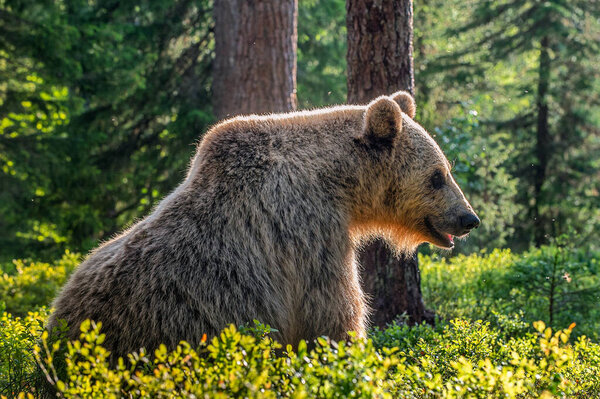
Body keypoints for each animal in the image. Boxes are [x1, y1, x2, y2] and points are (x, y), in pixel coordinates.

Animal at [48, 93, 478, 360]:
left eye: (447, 169)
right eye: (438, 175)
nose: (468, 218)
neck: (339, 184)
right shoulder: (307, 230)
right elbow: (330, 315)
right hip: (150, 327)